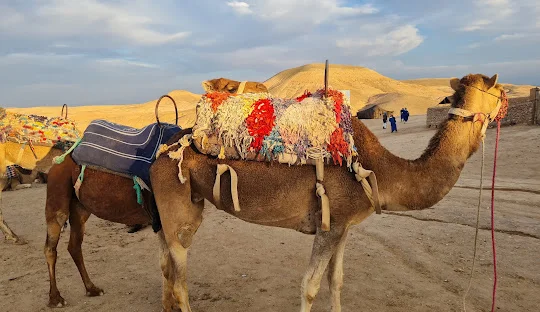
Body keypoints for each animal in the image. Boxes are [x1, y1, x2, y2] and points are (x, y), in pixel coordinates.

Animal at [148, 73, 506, 312]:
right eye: (500, 91)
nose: (506, 103)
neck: (377, 168)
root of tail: (161, 151)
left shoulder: (343, 225)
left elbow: (337, 280)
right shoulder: (329, 225)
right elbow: (310, 286)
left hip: (180, 206)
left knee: (166, 266)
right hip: (176, 202)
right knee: (179, 279)